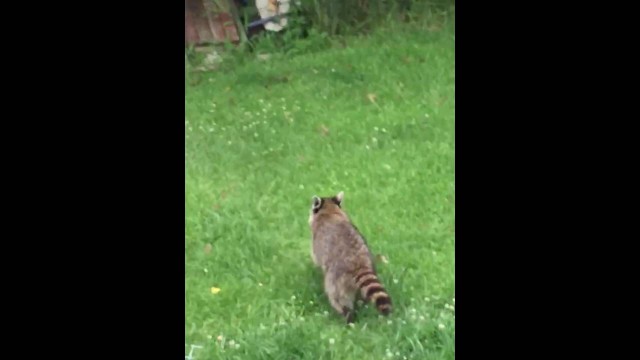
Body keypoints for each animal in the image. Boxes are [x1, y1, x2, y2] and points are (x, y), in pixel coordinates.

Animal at [308, 191, 392, 324]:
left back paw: (347, 315)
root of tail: (357, 262)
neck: (330, 210)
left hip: (335, 279)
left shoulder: (316, 239)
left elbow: (316, 258)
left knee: (337, 297)